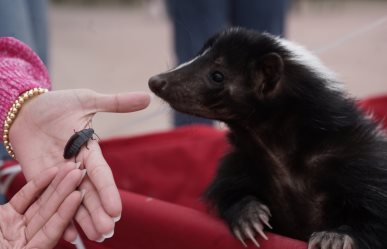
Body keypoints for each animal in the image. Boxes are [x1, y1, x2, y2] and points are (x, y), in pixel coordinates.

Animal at [148, 27, 387, 249]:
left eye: (217, 75)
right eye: (197, 56)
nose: (156, 81)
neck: (279, 151)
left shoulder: (359, 163)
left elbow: (375, 217)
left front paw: (334, 237)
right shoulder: (243, 160)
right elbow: (227, 190)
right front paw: (248, 217)